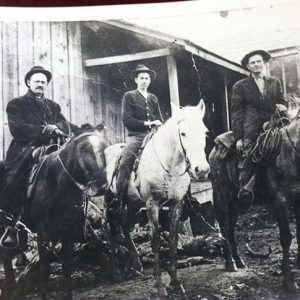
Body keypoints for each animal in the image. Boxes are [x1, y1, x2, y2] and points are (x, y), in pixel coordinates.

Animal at [0, 125, 108, 298]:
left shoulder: (68, 231)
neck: (57, 181)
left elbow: (67, 267)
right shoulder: (43, 230)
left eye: (105, 146)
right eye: (82, 148)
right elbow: (45, 268)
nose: (102, 185)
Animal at [105, 99, 209, 296]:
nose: (202, 170)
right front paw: (160, 285)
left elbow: (173, 239)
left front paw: (175, 282)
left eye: (205, 132)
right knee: (112, 228)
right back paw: (115, 271)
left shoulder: (177, 203)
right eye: (183, 133)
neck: (170, 167)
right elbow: (155, 240)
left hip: (132, 204)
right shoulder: (152, 204)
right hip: (110, 201)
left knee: (124, 226)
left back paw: (136, 265)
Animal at [209, 112, 300, 290]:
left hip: (235, 201)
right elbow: (286, 238)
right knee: (223, 225)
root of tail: (215, 148)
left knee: (230, 228)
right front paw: (289, 281)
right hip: (221, 194)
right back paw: (230, 263)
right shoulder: (280, 201)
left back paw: (239, 261)